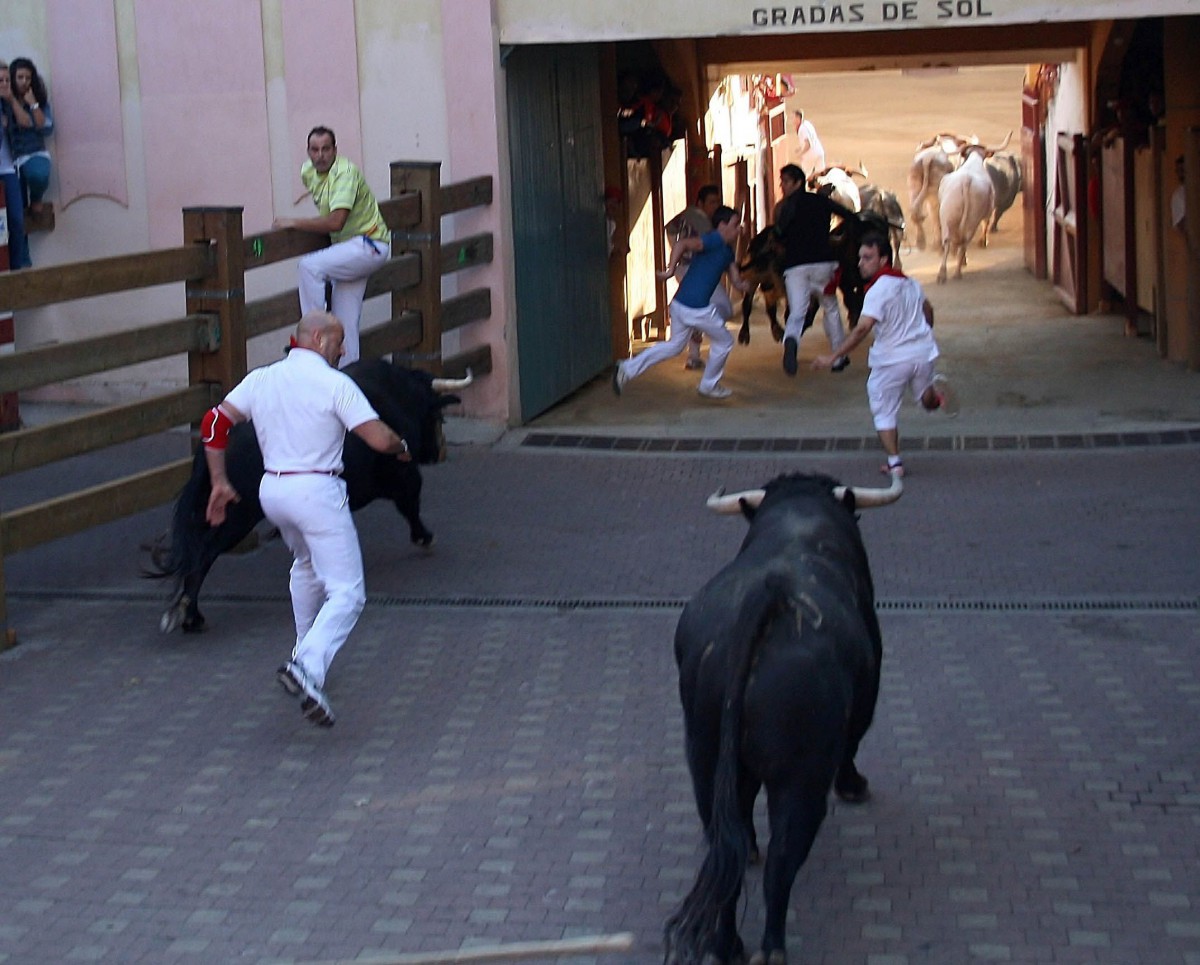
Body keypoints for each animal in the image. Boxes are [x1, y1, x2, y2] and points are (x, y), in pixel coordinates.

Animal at [148, 360, 468, 633]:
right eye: (436, 415)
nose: (433, 452)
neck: (398, 394)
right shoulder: (402, 474)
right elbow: (412, 500)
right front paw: (424, 536)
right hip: (238, 516)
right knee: (204, 553)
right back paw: (192, 616)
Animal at [667, 470, 902, 960]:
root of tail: (768, 598)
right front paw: (854, 785)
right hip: (801, 778)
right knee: (782, 861)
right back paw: (771, 946)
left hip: (704, 758)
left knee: (726, 848)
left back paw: (727, 944)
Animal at [931, 132, 1008, 283]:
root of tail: (966, 181)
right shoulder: (988, 212)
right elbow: (986, 224)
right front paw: (983, 242)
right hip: (971, 219)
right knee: (963, 241)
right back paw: (957, 270)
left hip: (949, 216)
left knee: (950, 241)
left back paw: (944, 273)